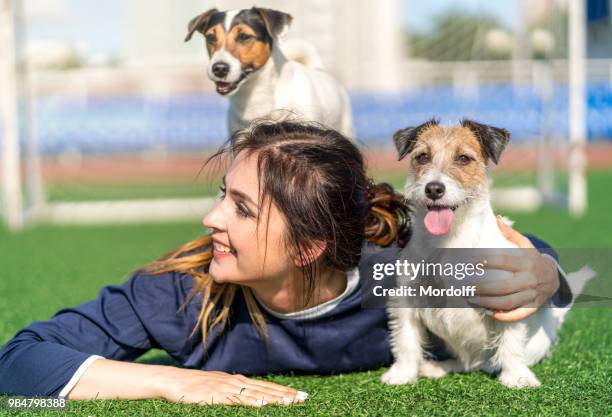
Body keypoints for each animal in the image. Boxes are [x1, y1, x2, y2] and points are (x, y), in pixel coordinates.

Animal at [382, 118, 592, 388]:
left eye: (463, 158)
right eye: (422, 156)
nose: (434, 189)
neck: (451, 239)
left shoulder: (507, 298)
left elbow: (510, 342)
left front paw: (517, 377)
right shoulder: (407, 298)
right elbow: (406, 340)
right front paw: (402, 373)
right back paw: (438, 367)